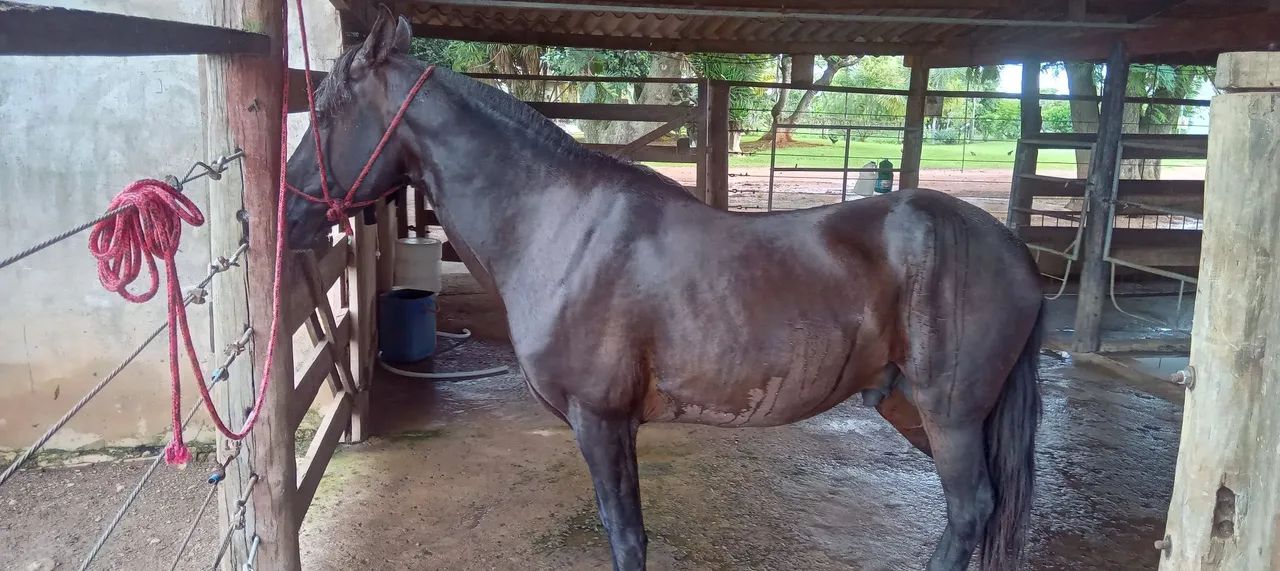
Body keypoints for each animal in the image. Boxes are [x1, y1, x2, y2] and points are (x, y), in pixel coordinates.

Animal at [284, 10, 1044, 571]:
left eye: (323, 110)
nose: (284, 214)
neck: (556, 223)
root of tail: (1013, 252)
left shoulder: (601, 420)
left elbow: (626, 537)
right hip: (915, 408)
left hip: (950, 415)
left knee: (970, 511)